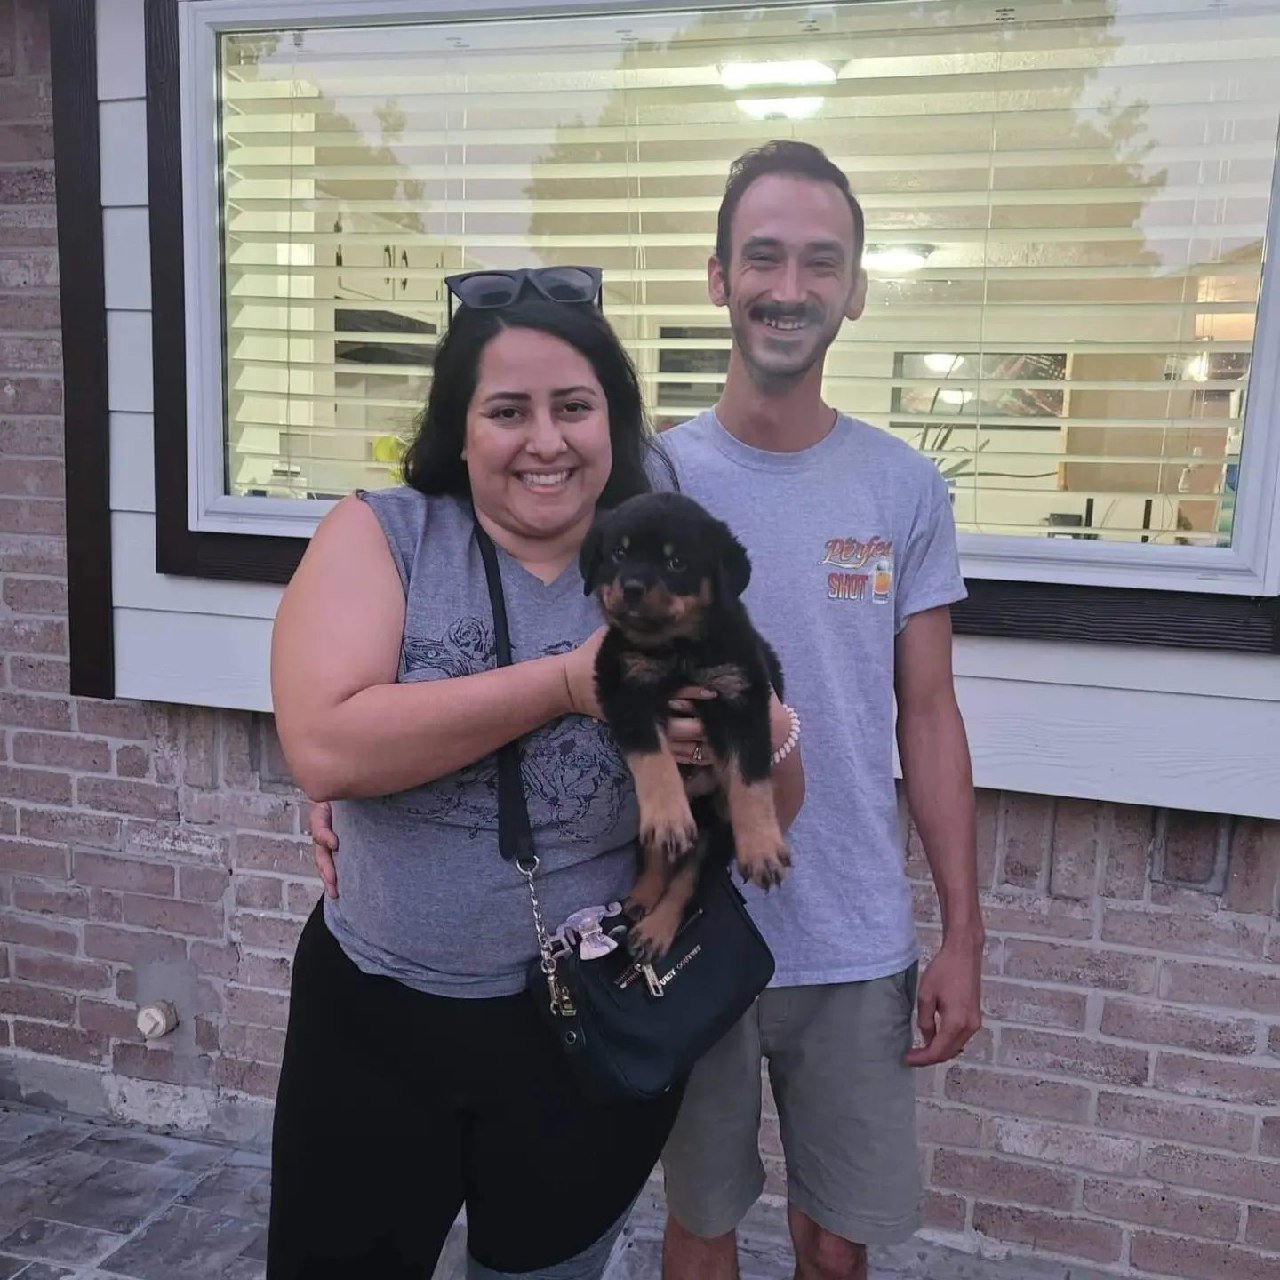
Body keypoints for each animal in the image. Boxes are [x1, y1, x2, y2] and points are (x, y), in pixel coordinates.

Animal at [583, 488, 788, 962]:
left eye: (676, 562)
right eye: (618, 553)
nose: (632, 588)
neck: (677, 649)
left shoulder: (743, 696)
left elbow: (751, 779)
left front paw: (763, 849)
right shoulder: (624, 687)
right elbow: (654, 761)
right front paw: (668, 817)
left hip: (716, 827)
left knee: (690, 875)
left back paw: (656, 929)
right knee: (664, 853)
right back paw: (643, 896)